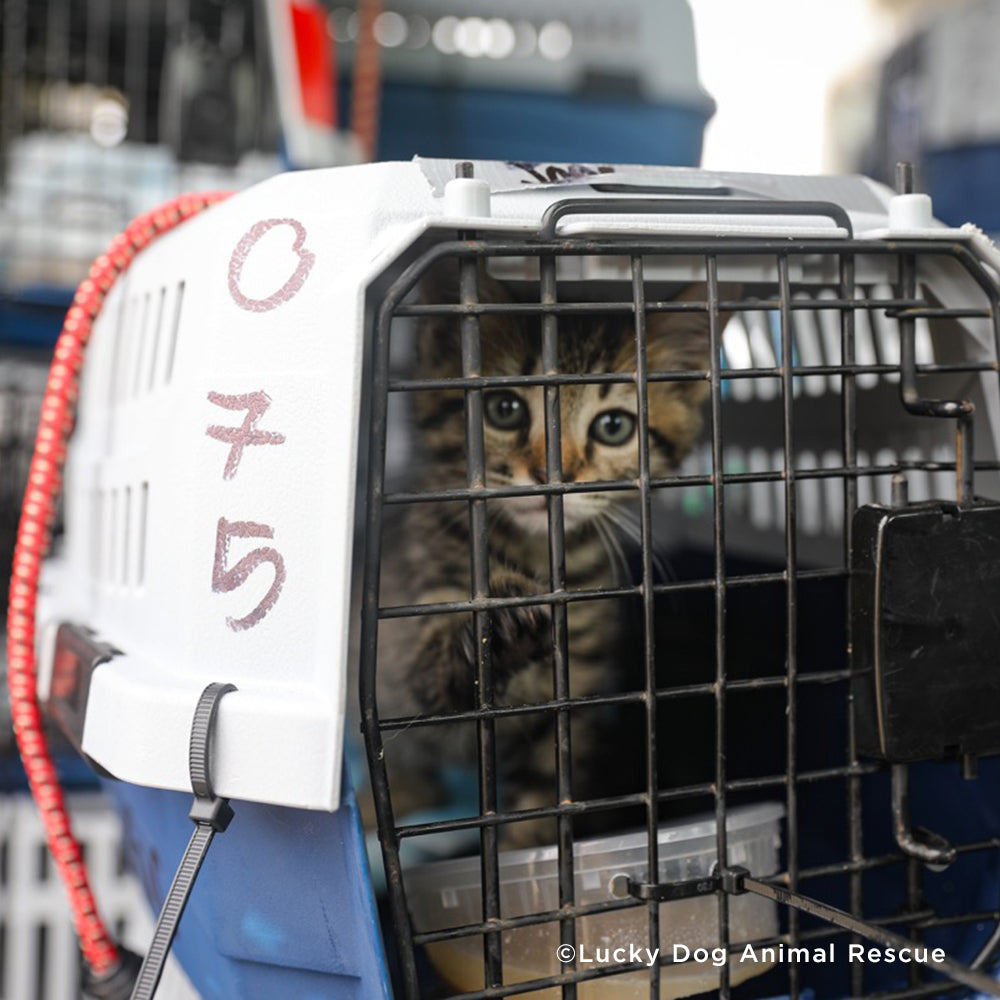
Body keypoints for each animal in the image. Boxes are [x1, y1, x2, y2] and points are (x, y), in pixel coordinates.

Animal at [372, 264, 732, 844]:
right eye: (503, 409)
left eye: (613, 426)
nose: (549, 477)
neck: (535, 558)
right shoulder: (411, 633)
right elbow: (434, 686)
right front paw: (506, 624)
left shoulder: (576, 696)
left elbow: (545, 797)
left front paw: (529, 853)